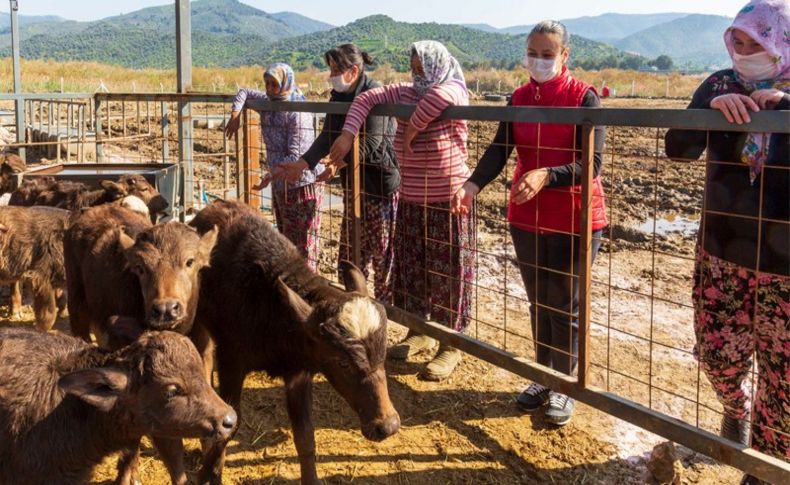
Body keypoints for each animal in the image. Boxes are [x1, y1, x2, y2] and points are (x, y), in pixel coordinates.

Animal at [189, 199, 402, 482]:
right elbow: (229, 424)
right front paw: (209, 472)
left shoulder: (299, 375)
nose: (387, 425)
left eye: (382, 353)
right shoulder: (231, 363)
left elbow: (305, 436)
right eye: (342, 363)